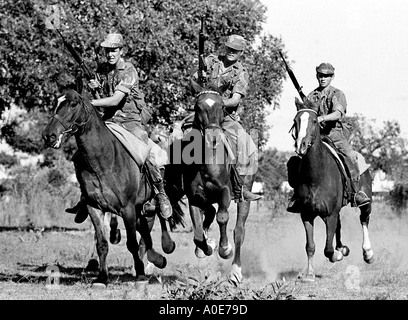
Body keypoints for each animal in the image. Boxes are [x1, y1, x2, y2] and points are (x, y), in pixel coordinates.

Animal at [164, 84, 256, 284]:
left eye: (222, 107)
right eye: (197, 107)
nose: (213, 137)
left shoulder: (225, 192)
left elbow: (222, 217)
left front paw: (224, 249)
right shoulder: (194, 198)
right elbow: (198, 235)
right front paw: (207, 247)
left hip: (244, 195)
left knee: (239, 230)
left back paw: (236, 271)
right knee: (211, 213)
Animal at [290, 97, 372, 280]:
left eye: (314, 121)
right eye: (295, 121)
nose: (301, 146)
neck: (316, 176)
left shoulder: (330, 214)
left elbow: (328, 250)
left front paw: (337, 254)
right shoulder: (307, 215)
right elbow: (310, 246)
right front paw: (310, 274)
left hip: (366, 203)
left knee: (364, 220)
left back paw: (368, 253)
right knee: (340, 226)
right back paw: (342, 247)